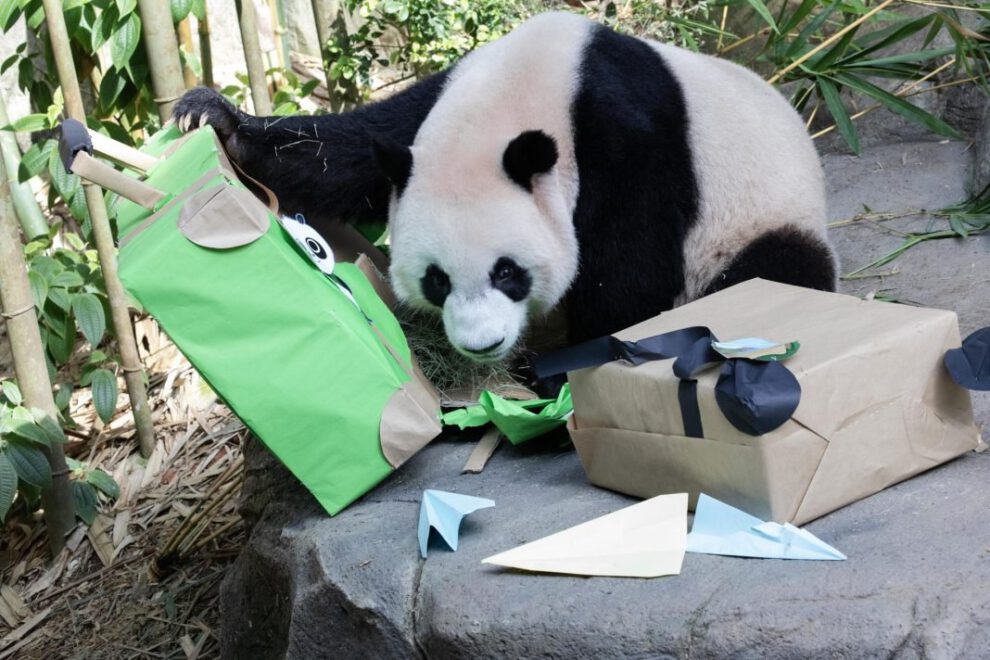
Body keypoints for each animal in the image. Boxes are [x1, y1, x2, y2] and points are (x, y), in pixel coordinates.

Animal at [174, 11, 836, 364]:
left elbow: (631, 269)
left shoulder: (627, 141)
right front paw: (213, 118)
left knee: (776, 269)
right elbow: (344, 153)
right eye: (436, 281)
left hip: (762, 219)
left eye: (508, 272)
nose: (483, 345)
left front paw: (572, 365)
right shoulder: (429, 106)